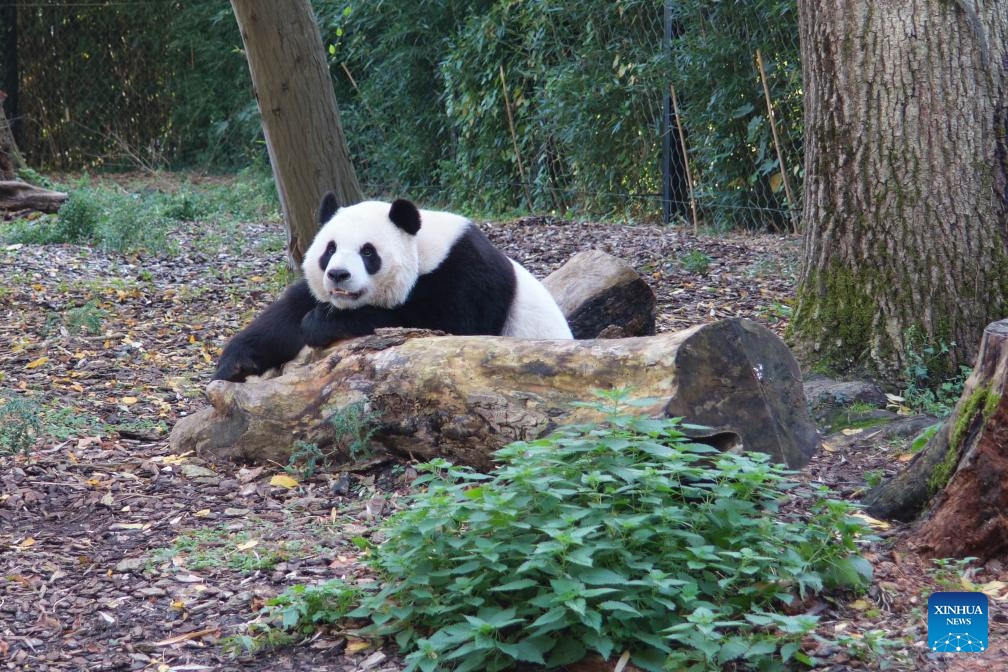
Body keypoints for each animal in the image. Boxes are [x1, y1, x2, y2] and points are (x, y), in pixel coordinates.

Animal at [212, 194, 572, 382]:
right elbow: (286, 315)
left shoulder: (466, 275)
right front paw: (235, 363)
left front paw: (320, 324)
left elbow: (444, 324)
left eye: (368, 253)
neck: (424, 249)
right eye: (329, 249)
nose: (338, 274)